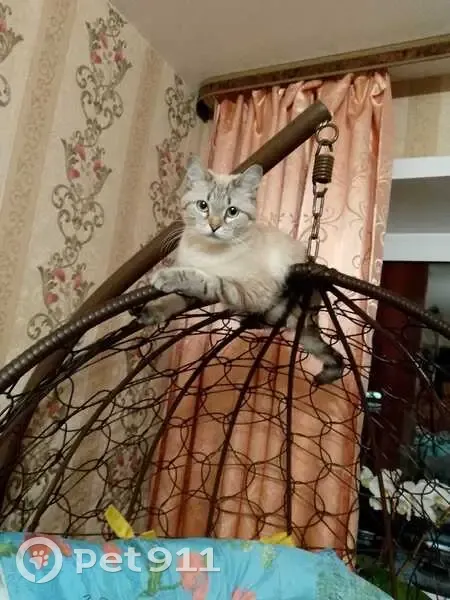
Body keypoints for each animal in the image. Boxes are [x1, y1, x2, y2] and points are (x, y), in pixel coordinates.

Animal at [138, 156, 344, 385]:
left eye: (232, 212)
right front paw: (153, 309)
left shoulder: (248, 289)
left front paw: (165, 276)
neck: (207, 253)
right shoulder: (194, 295)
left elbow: (204, 279)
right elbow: (174, 299)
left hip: (288, 297)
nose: (214, 226)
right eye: (203, 206)